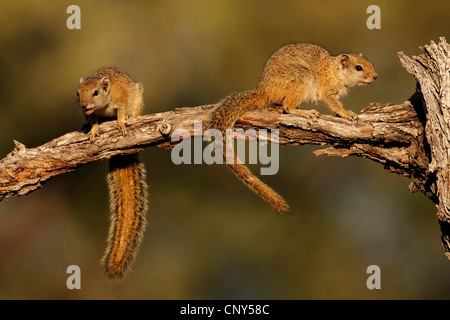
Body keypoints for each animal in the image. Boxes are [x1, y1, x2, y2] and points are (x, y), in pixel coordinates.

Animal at [77, 66, 148, 282]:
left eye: (95, 93)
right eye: (78, 93)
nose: (83, 106)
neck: (102, 107)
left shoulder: (121, 98)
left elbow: (122, 111)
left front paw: (123, 121)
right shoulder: (90, 114)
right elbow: (93, 121)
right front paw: (93, 130)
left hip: (138, 95)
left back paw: (132, 117)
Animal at [210, 43, 376, 215]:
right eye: (358, 68)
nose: (375, 76)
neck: (336, 72)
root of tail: (265, 89)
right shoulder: (329, 92)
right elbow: (334, 104)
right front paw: (347, 114)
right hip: (300, 78)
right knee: (288, 107)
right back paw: (306, 112)